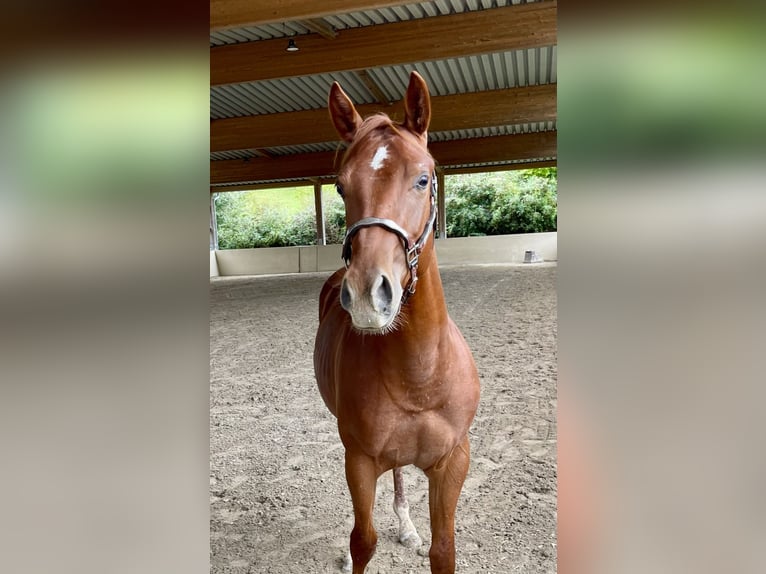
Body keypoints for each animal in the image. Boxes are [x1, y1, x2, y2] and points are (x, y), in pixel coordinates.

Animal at [313, 71, 480, 574]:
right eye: (340, 187)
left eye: (423, 179)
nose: (369, 295)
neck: (419, 374)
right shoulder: (360, 460)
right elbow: (362, 541)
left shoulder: (453, 461)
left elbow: (443, 550)